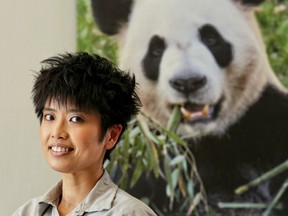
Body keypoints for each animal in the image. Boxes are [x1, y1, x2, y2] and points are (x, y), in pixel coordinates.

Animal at [91, 0, 288, 215]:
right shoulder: (147, 157)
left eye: (211, 38)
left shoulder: (265, 126)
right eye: (156, 50)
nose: (188, 82)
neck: (204, 140)